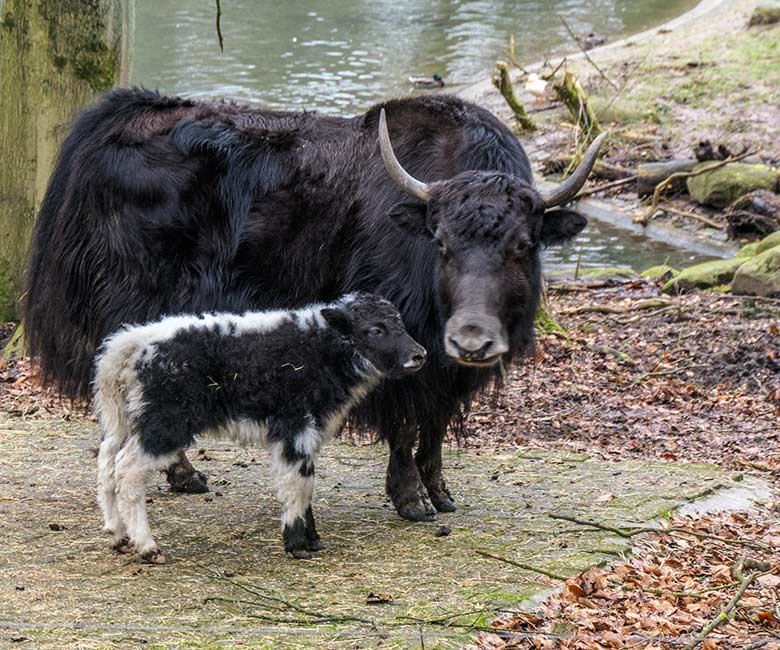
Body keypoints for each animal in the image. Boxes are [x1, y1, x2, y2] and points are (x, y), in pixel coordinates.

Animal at [97, 292, 430, 560]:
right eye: (375, 330)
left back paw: (119, 536)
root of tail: (128, 346)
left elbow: (305, 480)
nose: (420, 355)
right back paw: (147, 547)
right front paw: (297, 544)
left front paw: (312, 538)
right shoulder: (295, 426)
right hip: (162, 424)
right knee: (127, 472)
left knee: (107, 465)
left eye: (400, 324)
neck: (319, 348)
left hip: (125, 422)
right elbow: (298, 482)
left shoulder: (310, 430)